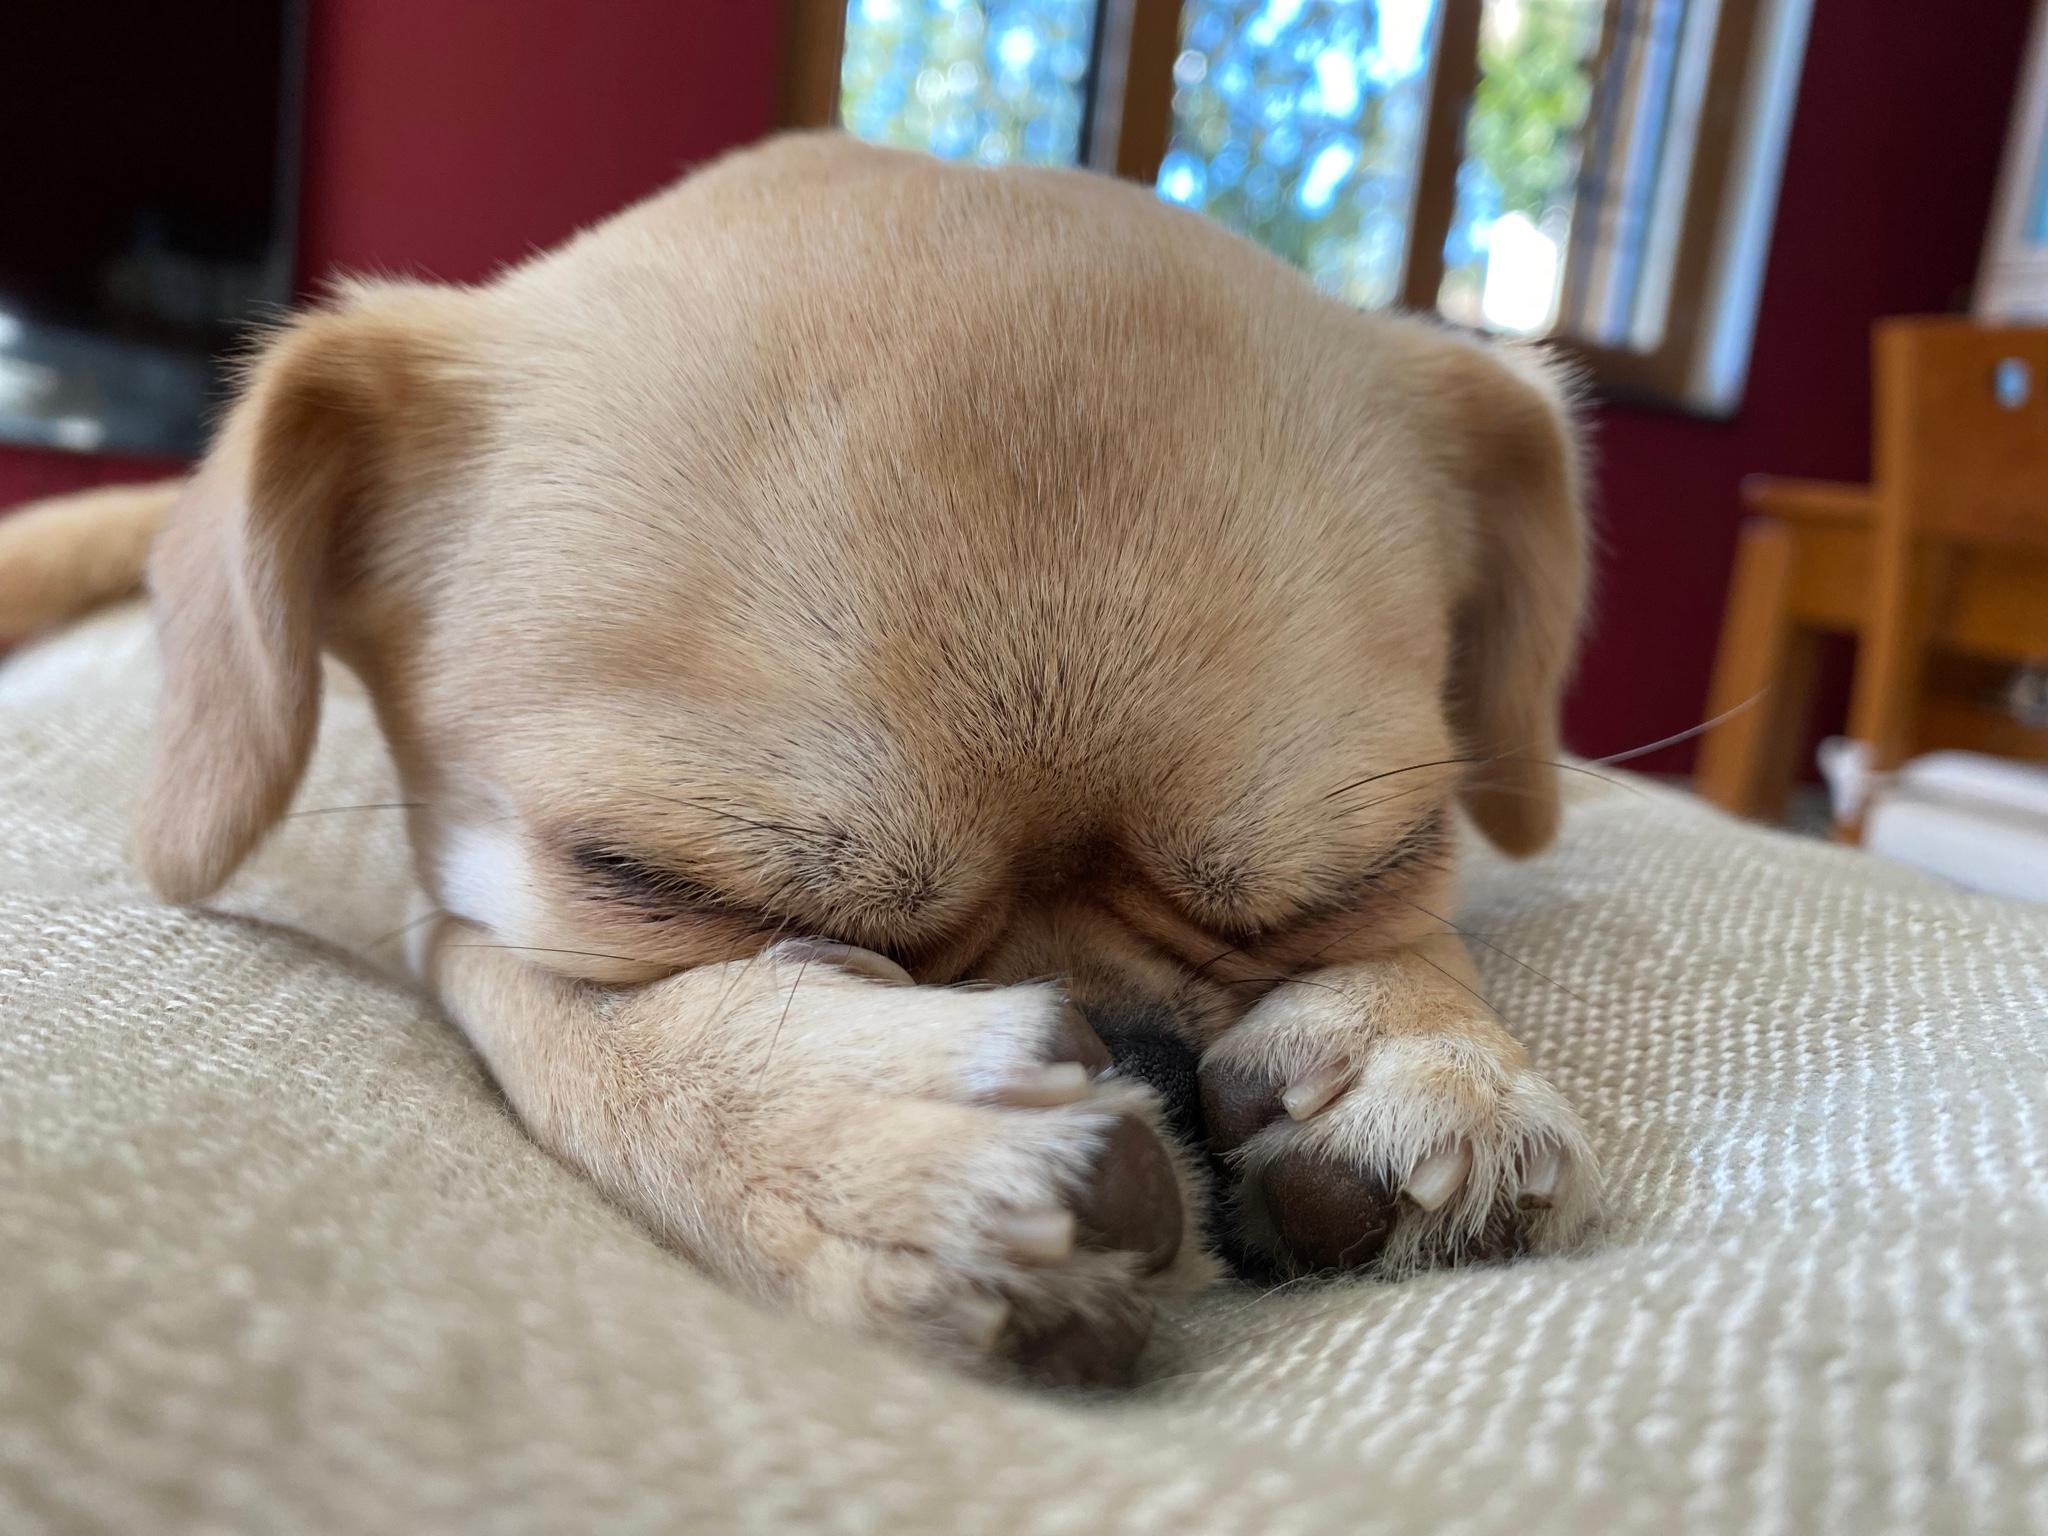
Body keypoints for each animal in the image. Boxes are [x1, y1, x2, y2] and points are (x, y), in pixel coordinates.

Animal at [0, 133, 1596, 1385]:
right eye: (660, 883)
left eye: (1375, 873)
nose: (1138, 1043)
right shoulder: (463, 917)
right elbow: (587, 1028)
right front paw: (850, 1133)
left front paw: (1421, 1047)